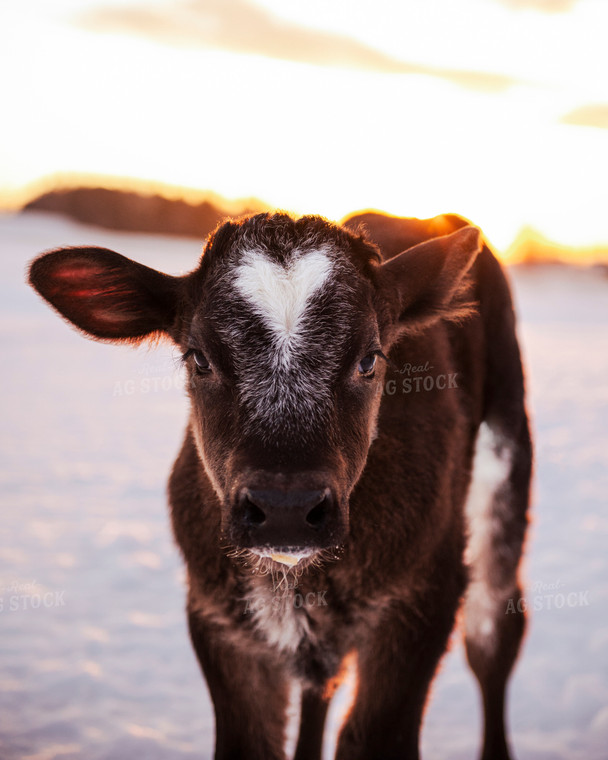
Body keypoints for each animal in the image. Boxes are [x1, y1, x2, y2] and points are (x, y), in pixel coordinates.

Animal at [28, 212, 532, 760]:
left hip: (506, 461)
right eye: (199, 359)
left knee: (493, 632)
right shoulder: (218, 619)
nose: (285, 508)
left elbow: (372, 736)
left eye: (369, 359)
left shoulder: (425, 598)